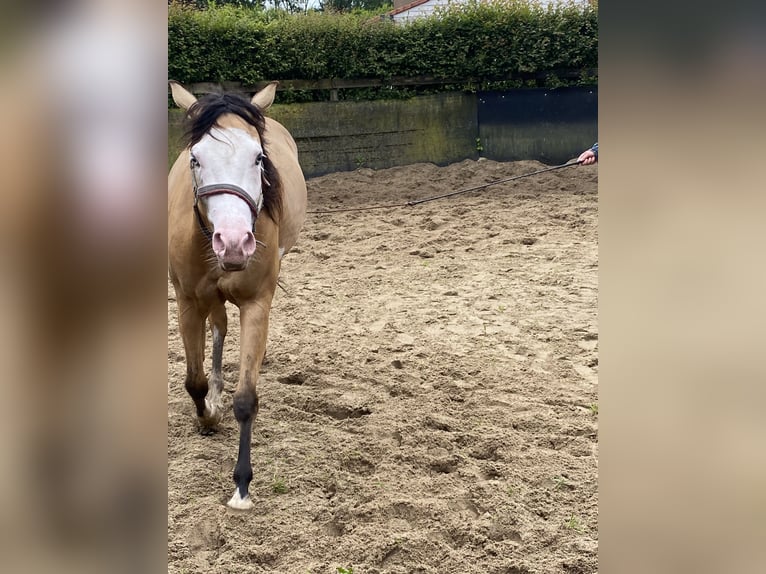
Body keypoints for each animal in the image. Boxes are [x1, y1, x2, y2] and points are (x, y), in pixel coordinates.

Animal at [170, 81, 308, 508]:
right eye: (195, 159)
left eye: (258, 158)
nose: (233, 243)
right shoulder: (187, 302)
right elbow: (194, 381)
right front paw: (208, 414)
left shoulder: (256, 303)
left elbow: (246, 399)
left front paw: (242, 485)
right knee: (217, 329)